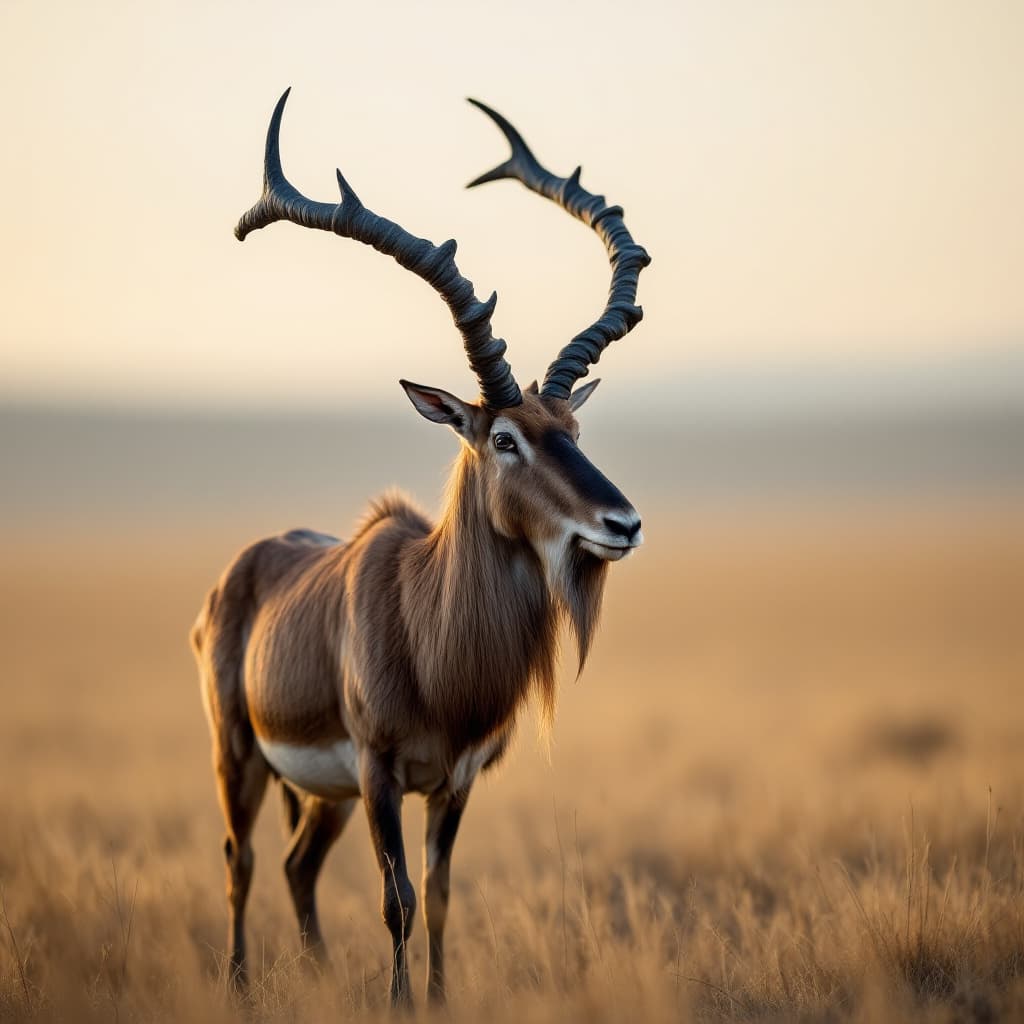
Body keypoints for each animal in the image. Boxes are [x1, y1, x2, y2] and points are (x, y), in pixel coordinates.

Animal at [191, 89, 650, 1007]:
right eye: (504, 438)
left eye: (573, 428)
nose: (621, 522)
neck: (432, 637)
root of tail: (241, 572)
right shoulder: (380, 774)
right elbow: (395, 900)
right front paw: (400, 1004)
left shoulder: (456, 781)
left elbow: (437, 895)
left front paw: (435, 1000)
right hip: (241, 757)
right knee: (241, 858)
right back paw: (239, 986)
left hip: (322, 794)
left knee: (296, 867)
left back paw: (317, 975)